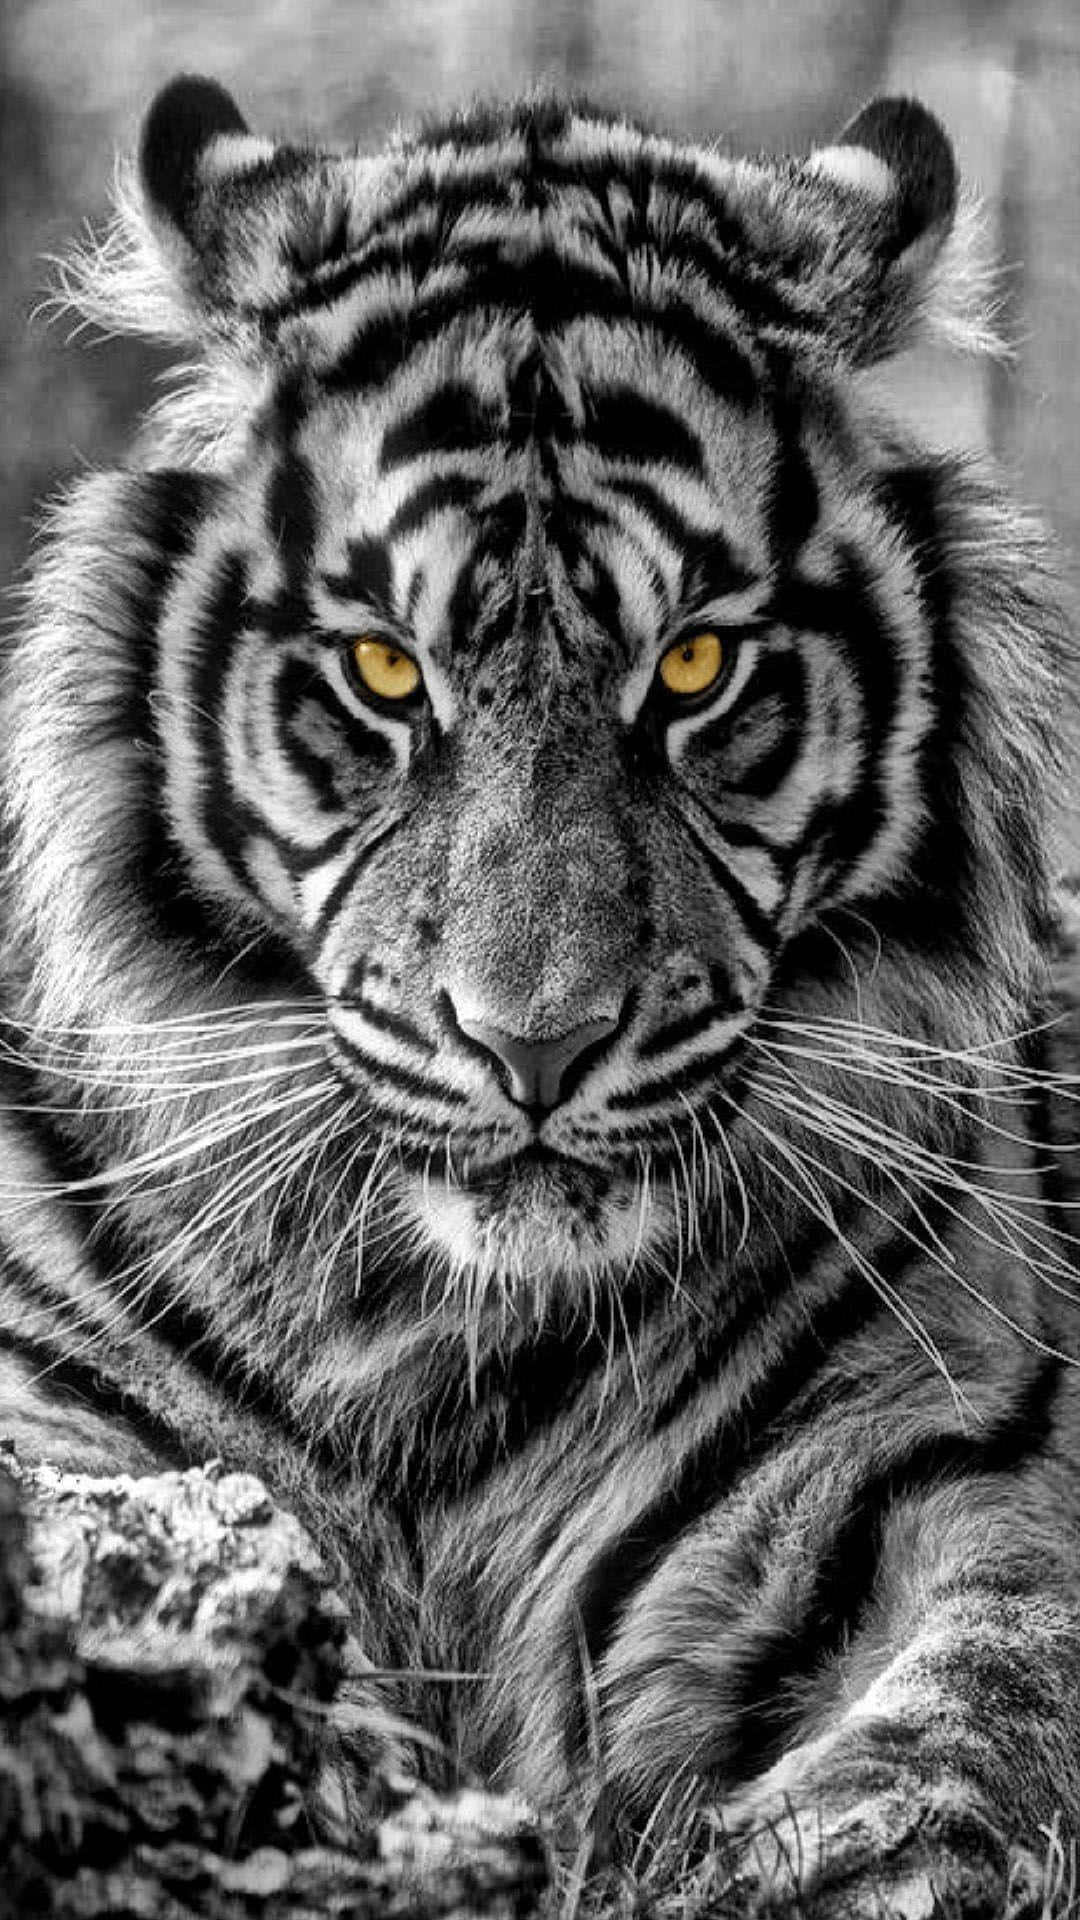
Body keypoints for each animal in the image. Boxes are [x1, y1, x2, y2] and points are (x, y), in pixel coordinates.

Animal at [3, 69, 1080, 1915]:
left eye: (696, 666)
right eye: (384, 671)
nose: (537, 1047)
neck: (446, 1338)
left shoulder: (944, 1464)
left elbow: (971, 1723)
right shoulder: (56, 1409)